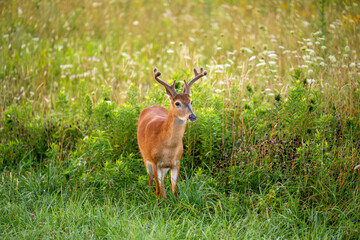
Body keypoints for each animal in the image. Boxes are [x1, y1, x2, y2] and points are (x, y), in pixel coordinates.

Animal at [136, 67, 207, 199]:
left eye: (191, 101)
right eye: (177, 103)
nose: (192, 116)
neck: (167, 146)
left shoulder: (176, 162)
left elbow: (175, 189)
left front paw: (178, 203)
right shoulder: (155, 161)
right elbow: (158, 190)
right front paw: (157, 204)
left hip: (164, 167)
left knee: (162, 183)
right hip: (145, 156)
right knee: (151, 180)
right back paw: (150, 194)